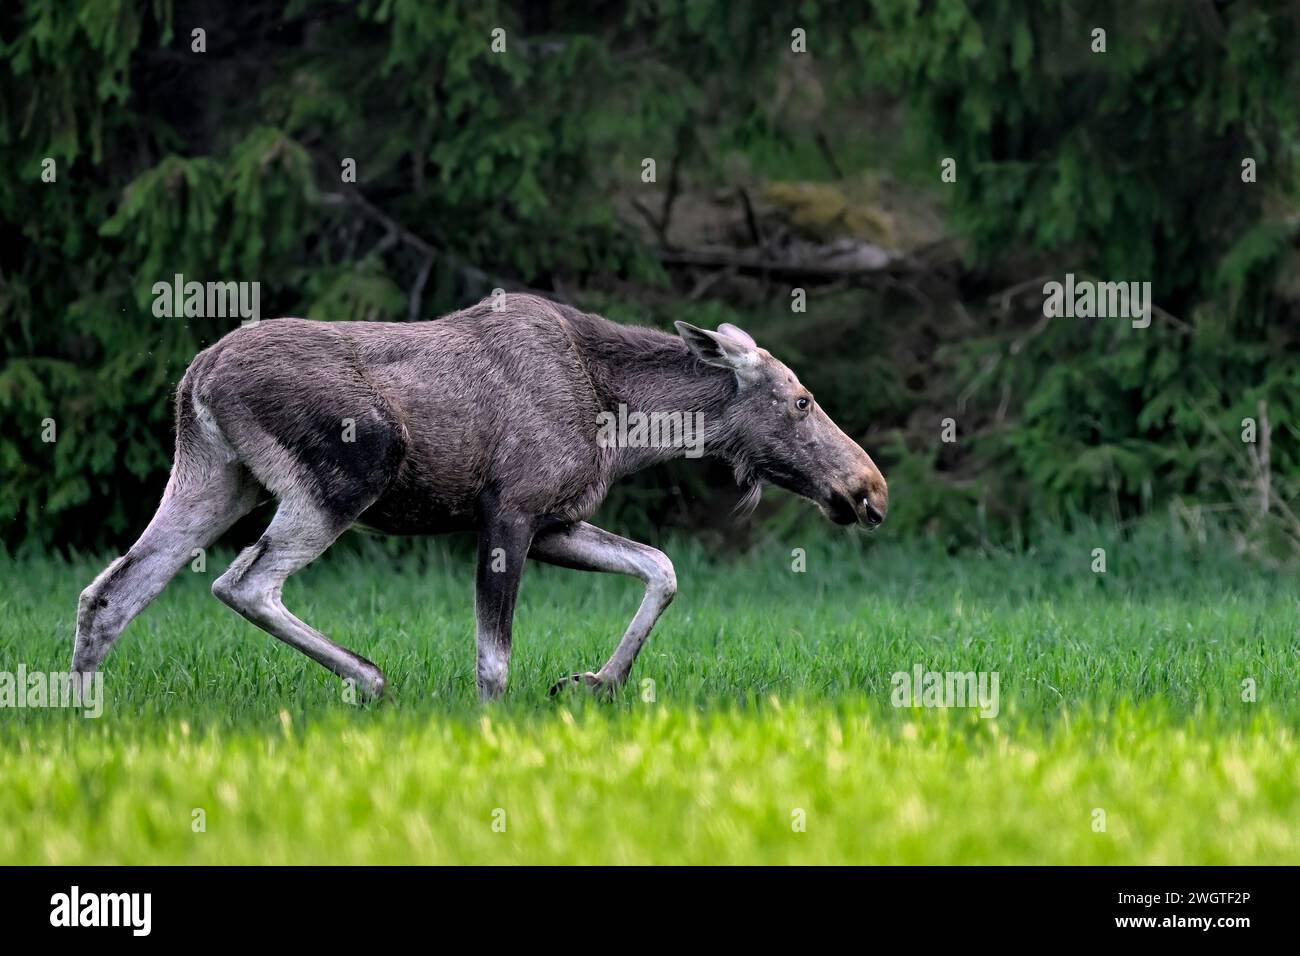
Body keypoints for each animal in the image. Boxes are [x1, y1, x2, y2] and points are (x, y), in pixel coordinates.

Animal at [70, 293, 888, 701]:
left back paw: (78, 715)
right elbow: (494, 659)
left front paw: (594, 681)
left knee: (111, 591)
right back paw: (369, 678)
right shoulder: (511, 511)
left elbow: (661, 567)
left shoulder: (558, 521)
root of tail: (197, 376)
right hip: (346, 475)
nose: (869, 489)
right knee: (243, 582)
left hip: (213, 476)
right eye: (803, 401)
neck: (626, 425)